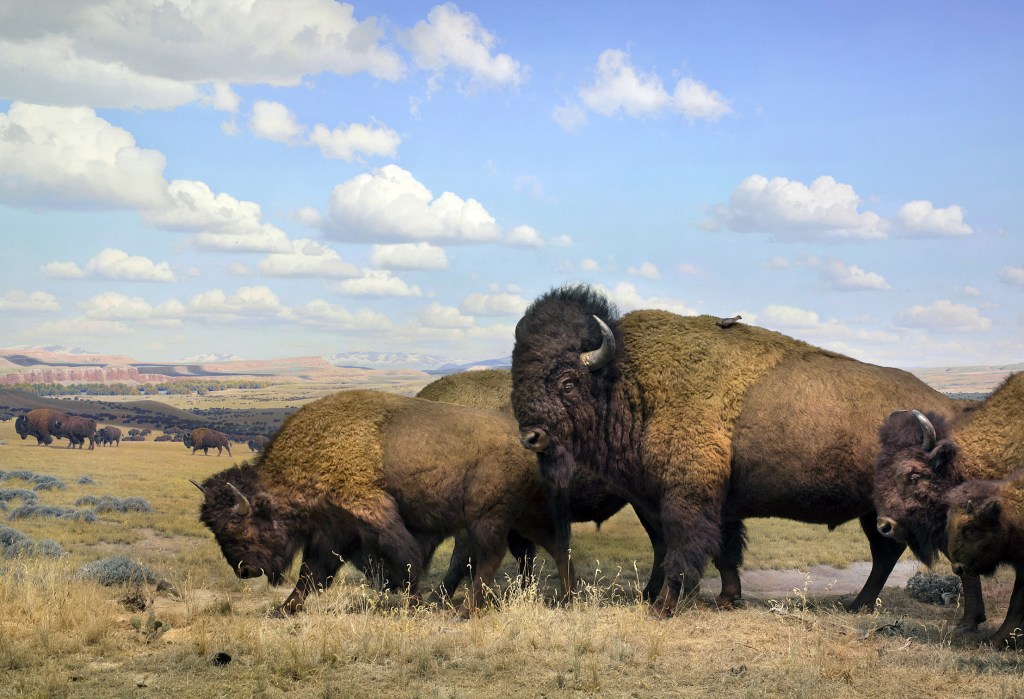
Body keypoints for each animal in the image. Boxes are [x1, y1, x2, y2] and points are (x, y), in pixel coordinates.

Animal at [193, 390, 577, 614]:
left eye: (240, 527)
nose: (244, 571)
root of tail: (529, 441)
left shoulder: (372, 514)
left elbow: (407, 561)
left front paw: (414, 605)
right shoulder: (332, 531)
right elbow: (311, 573)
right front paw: (285, 608)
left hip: (488, 517)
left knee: (490, 557)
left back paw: (466, 610)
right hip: (524, 516)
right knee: (557, 547)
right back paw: (568, 599)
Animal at [509, 284, 950, 618]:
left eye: (568, 382)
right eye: (519, 373)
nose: (531, 437)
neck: (627, 379)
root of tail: (946, 406)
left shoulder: (686, 500)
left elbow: (682, 554)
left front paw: (662, 608)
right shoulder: (714, 505)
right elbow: (724, 551)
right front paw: (726, 598)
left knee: (885, 553)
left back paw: (857, 604)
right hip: (874, 512)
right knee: (884, 553)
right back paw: (858, 604)